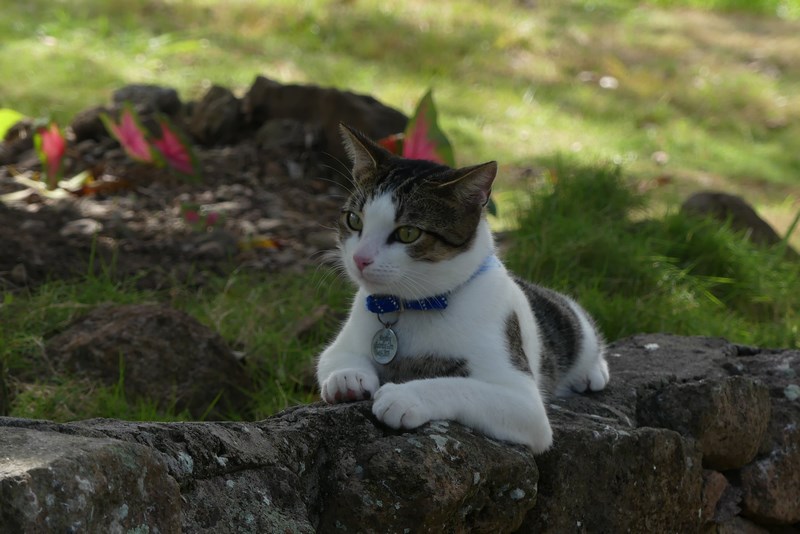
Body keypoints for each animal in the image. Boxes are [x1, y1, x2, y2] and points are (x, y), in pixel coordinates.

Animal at [316, 124, 608, 452]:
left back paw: (592, 372)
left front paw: (403, 396)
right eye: (354, 220)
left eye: (408, 233)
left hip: (571, 325)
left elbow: (462, 387)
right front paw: (347, 377)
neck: (414, 304)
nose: (360, 259)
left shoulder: (523, 403)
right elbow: (333, 357)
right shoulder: (347, 336)